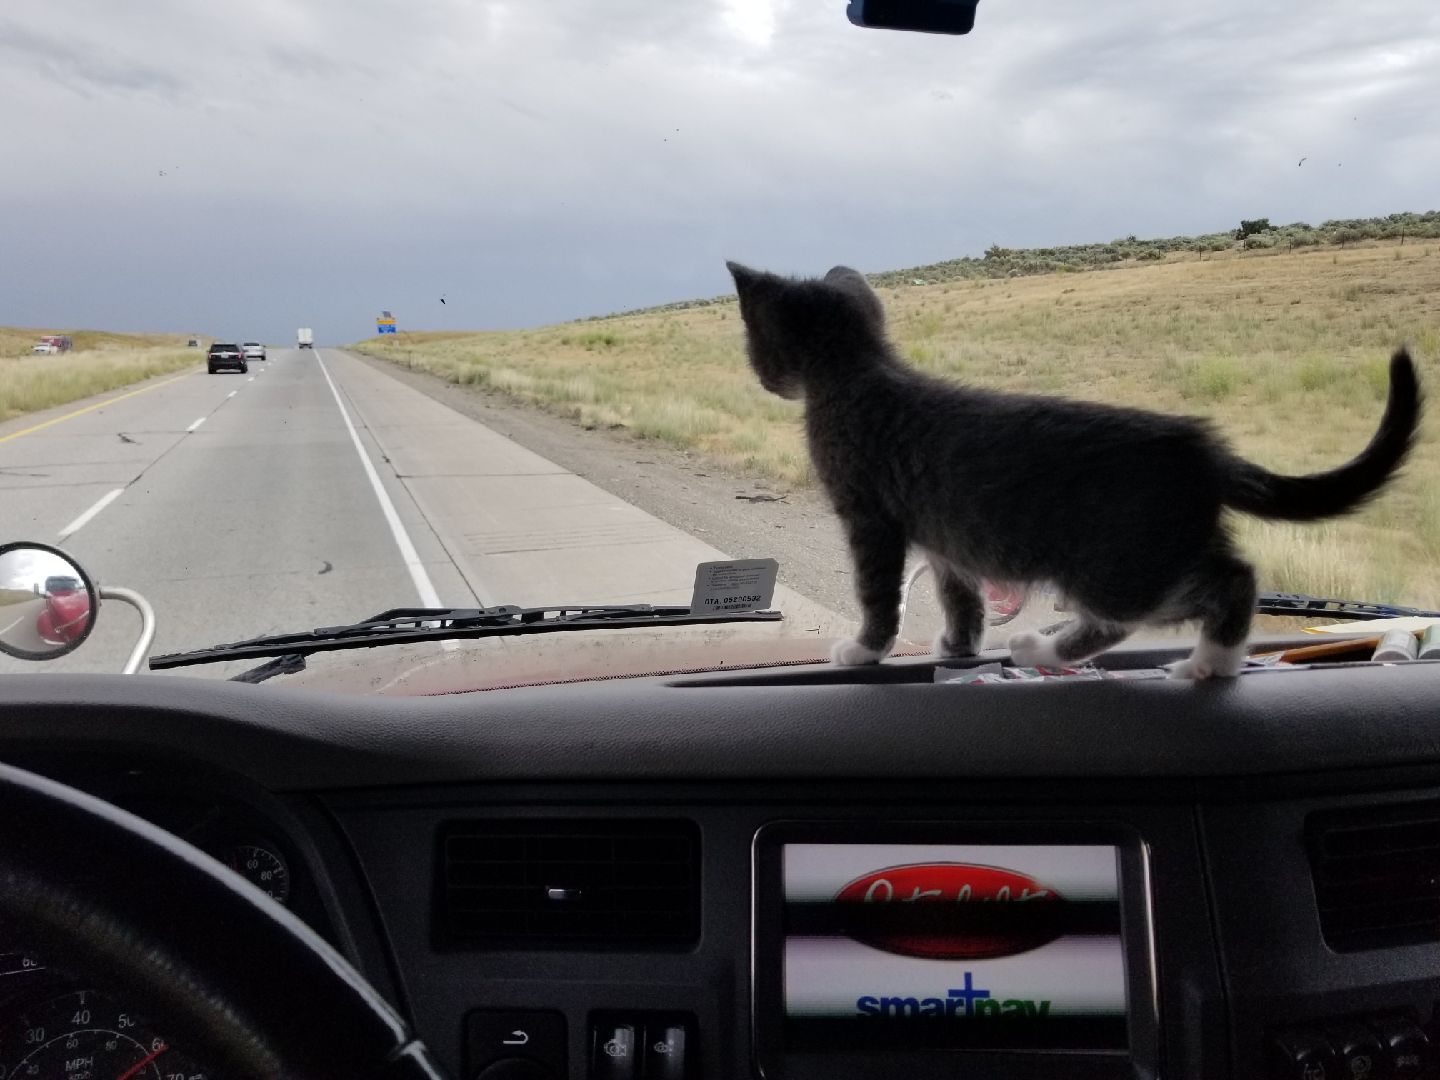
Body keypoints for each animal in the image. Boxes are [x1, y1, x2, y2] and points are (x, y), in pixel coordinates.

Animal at [726, 261, 1422, 679]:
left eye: (756, 345)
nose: (759, 377)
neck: (857, 375)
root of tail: (1201, 451)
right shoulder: (946, 534)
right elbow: (961, 595)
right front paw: (959, 647)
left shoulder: (870, 516)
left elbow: (877, 592)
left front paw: (863, 650)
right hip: (1150, 546)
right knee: (1218, 576)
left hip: (1116, 558)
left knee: (1209, 587)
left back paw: (1181, 659)